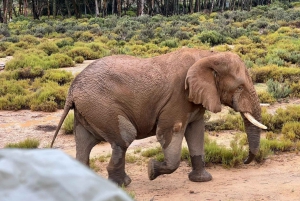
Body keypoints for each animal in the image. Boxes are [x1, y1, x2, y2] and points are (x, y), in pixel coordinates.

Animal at [50, 48, 266, 186]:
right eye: (240, 87)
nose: (245, 160)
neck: (208, 55)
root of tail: (72, 89)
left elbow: (196, 133)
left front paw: (202, 180)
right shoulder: (178, 98)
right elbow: (170, 133)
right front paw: (151, 170)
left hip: (86, 110)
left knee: (84, 143)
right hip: (100, 106)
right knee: (124, 138)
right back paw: (122, 185)